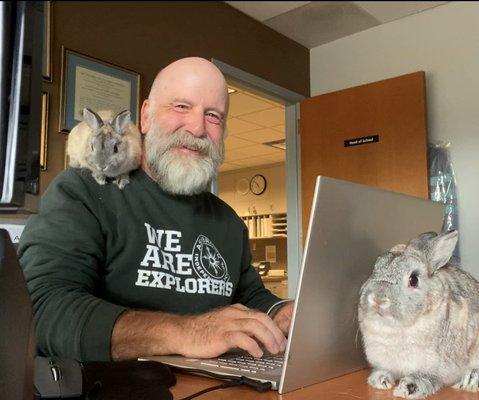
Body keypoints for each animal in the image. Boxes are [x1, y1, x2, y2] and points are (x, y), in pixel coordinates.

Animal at [360, 230, 479, 398]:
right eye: (375, 269)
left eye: (414, 279)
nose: (377, 299)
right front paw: (379, 380)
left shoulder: (437, 368)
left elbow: (427, 378)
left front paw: (406, 389)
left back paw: (469, 381)